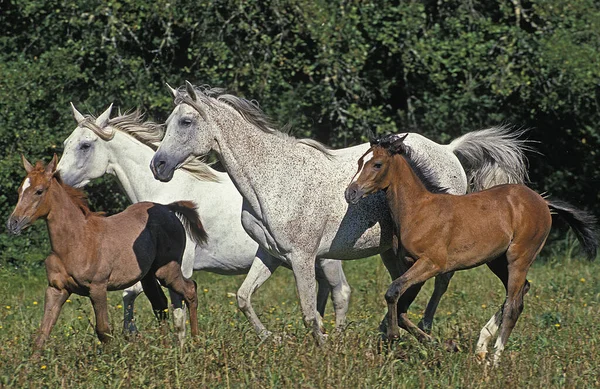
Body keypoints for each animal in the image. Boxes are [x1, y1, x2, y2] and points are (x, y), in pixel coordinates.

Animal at [6, 154, 209, 352]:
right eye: (19, 190)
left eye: (39, 191)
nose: (13, 223)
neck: (76, 241)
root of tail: (168, 208)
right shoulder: (56, 289)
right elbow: (43, 333)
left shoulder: (97, 287)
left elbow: (103, 331)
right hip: (148, 276)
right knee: (160, 304)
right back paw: (166, 350)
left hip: (167, 270)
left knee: (190, 290)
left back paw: (196, 343)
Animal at [54, 104, 354, 340]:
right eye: (67, 142)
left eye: (85, 145)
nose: (57, 179)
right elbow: (132, 295)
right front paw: (133, 334)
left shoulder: (181, 266)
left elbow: (161, 302)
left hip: (324, 259)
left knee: (341, 292)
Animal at [150, 82, 528, 342]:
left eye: (186, 121)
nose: (158, 165)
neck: (271, 177)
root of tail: (449, 150)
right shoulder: (270, 254)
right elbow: (244, 298)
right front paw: (273, 338)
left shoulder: (302, 257)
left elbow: (309, 312)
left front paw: (323, 346)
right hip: (392, 251)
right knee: (404, 286)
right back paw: (389, 330)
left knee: (441, 283)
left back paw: (421, 328)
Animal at [344, 133, 596, 364]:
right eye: (359, 162)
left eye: (377, 164)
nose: (350, 192)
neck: (418, 211)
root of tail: (543, 202)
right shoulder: (410, 265)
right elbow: (401, 306)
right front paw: (439, 344)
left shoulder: (431, 264)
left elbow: (393, 292)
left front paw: (395, 335)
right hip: (497, 261)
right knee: (520, 291)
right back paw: (482, 343)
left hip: (519, 257)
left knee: (514, 304)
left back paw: (494, 359)